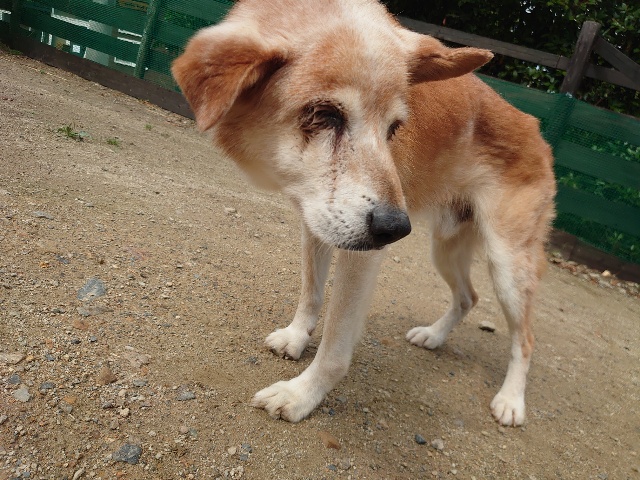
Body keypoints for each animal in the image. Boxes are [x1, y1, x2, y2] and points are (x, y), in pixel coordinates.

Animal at [172, 0, 556, 427]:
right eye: (324, 114)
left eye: (395, 128)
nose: (397, 229)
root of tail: (537, 130)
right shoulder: (317, 223)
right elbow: (311, 293)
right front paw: (296, 337)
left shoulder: (360, 254)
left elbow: (335, 347)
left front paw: (300, 394)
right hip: (445, 248)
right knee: (468, 298)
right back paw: (433, 336)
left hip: (507, 265)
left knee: (526, 338)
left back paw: (511, 400)